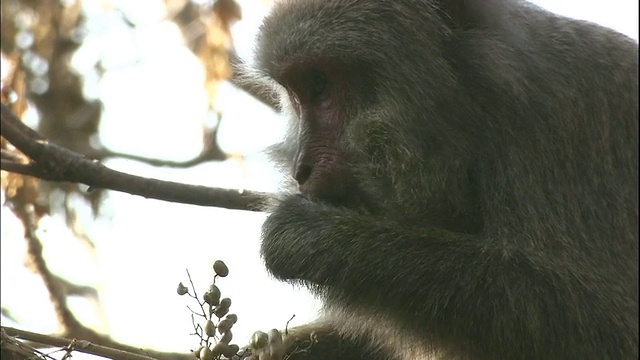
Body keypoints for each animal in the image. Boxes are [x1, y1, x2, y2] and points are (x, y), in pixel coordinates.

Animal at [249, 0, 636, 360]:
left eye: (319, 85)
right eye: (296, 95)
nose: (301, 169)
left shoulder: (559, 132)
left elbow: (606, 326)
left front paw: (311, 236)